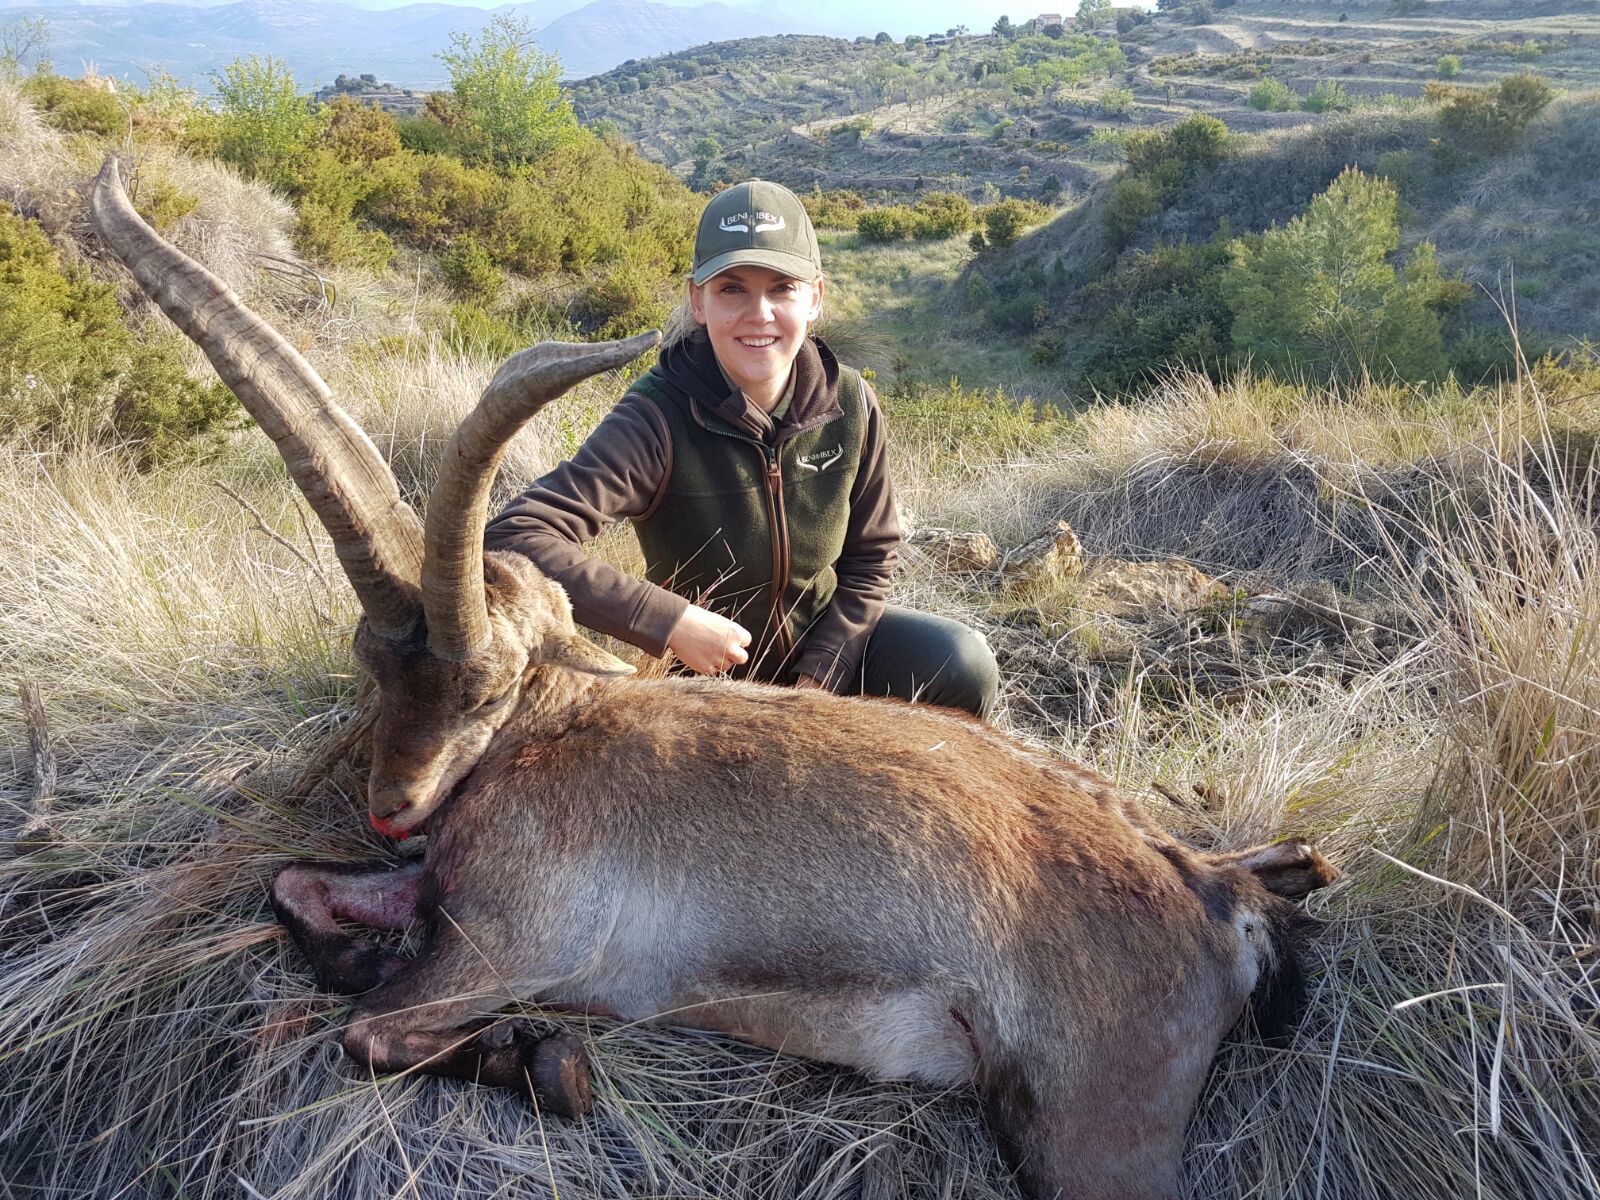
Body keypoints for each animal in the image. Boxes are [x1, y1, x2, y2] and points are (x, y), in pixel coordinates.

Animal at [90, 154, 1337, 1200]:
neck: (551, 729)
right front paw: (375, 959)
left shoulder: (514, 936)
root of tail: (1221, 899)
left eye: (485, 688)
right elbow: (298, 886)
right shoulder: (444, 899)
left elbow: (372, 1032)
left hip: (1091, 1122)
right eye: (366, 665)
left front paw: (548, 1060)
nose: (393, 807)